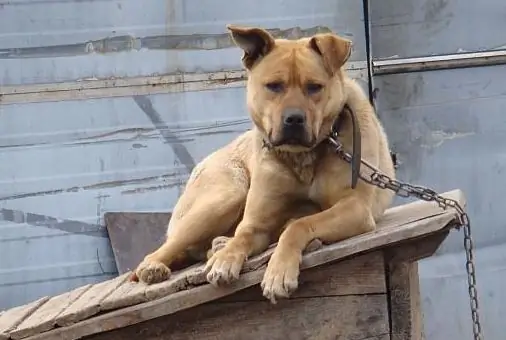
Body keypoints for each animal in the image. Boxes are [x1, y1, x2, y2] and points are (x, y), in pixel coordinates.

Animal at [131, 25, 396, 304]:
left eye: (314, 87)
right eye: (274, 86)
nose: (294, 119)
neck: (301, 156)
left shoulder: (355, 207)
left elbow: (299, 225)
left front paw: (278, 272)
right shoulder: (256, 223)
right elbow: (243, 235)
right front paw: (226, 259)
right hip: (227, 194)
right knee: (165, 248)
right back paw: (158, 266)